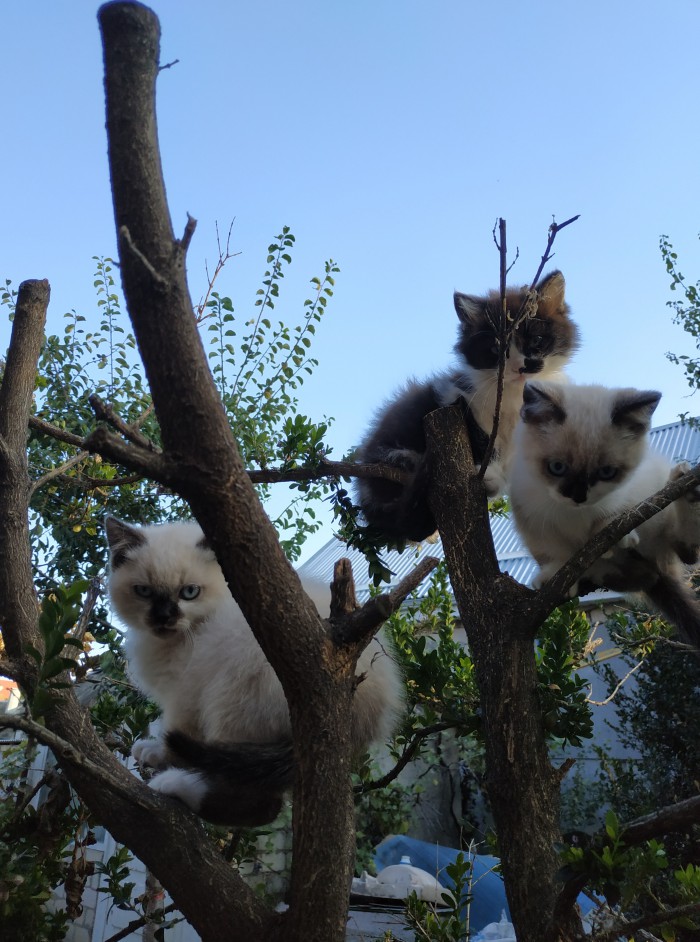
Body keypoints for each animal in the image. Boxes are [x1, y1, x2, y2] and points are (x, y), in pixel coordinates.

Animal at [105, 520, 404, 824]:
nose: (164, 617)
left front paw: (156, 752)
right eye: (144, 591)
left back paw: (175, 787)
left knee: (261, 804)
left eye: (189, 592)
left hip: (233, 693)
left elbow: (173, 731)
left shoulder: (185, 691)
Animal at [356, 270, 580, 544]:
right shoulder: (455, 395)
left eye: (536, 340)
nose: (521, 367)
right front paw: (488, 474)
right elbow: (481, 438)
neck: (512, 396)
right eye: (496, 349)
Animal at [508, 382, 700, 648]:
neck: (575, 512)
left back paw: (687, 488)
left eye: (607, 472)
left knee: (686, 551)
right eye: (556, 467)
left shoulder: (632, 492)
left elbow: (613, 517)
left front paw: (614, 535)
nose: (578, 497)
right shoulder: (532, 521)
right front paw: (552, 576)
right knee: (646, 576)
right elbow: (553, 555)